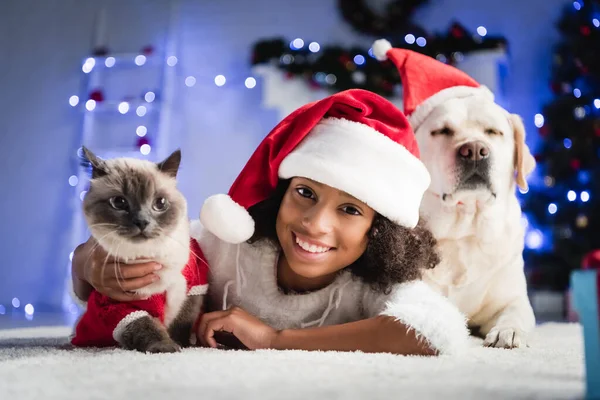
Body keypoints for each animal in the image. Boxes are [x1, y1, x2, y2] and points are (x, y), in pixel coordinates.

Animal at [71, 148, 209, 354]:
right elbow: (146, 326)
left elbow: (182, 322)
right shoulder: (121, 305)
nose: (142, 222)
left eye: (160, 203)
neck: (150, 254)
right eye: (119, 202)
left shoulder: (194, 288)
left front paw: (182, 344)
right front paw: (167, 347)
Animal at [414, 96, 536, 346]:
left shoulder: (511, 297)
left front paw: (509, 331)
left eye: (493, 131)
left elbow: (516, 311)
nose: (474, 151)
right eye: (442, 131)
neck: (465, 229)